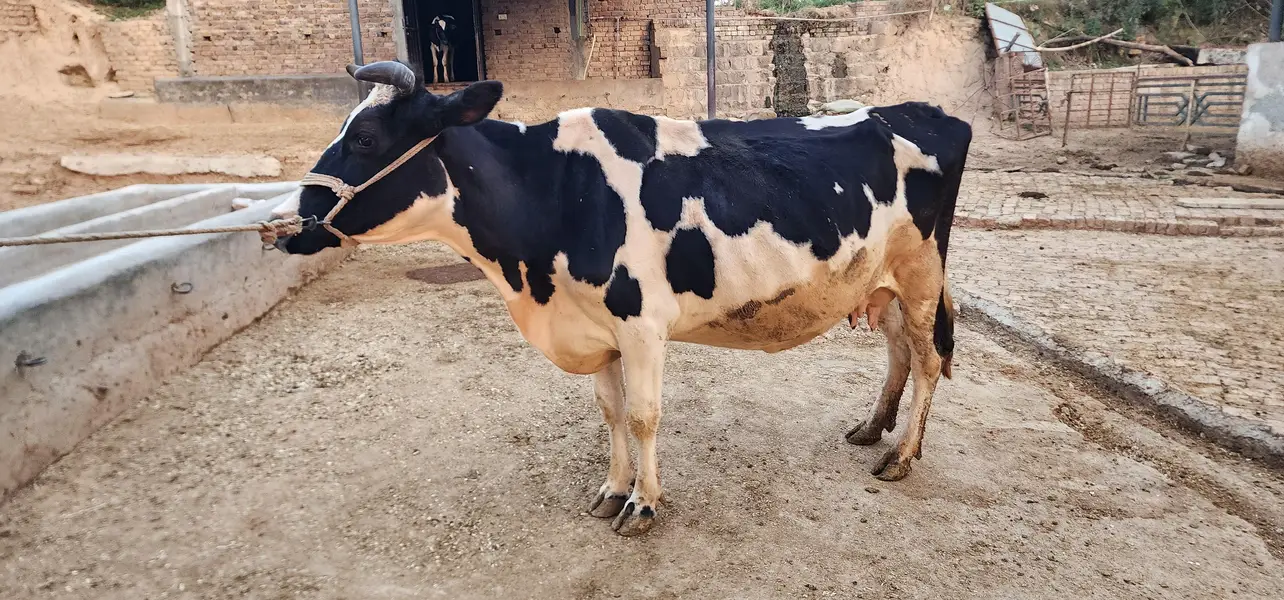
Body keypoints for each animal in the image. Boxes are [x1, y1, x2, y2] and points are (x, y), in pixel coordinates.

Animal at [269, 61, 972, 537]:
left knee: (927, 358)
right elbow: (608, 413)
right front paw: (611, 489)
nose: (288, 222)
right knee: (898, 351)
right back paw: (873, 428)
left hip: (920, 275)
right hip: (879, 279)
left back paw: (901, 455)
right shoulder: (593, 329)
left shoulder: (641, 325)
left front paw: (644, 504)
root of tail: (923, 111)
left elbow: (642, 417)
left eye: (365, 139)